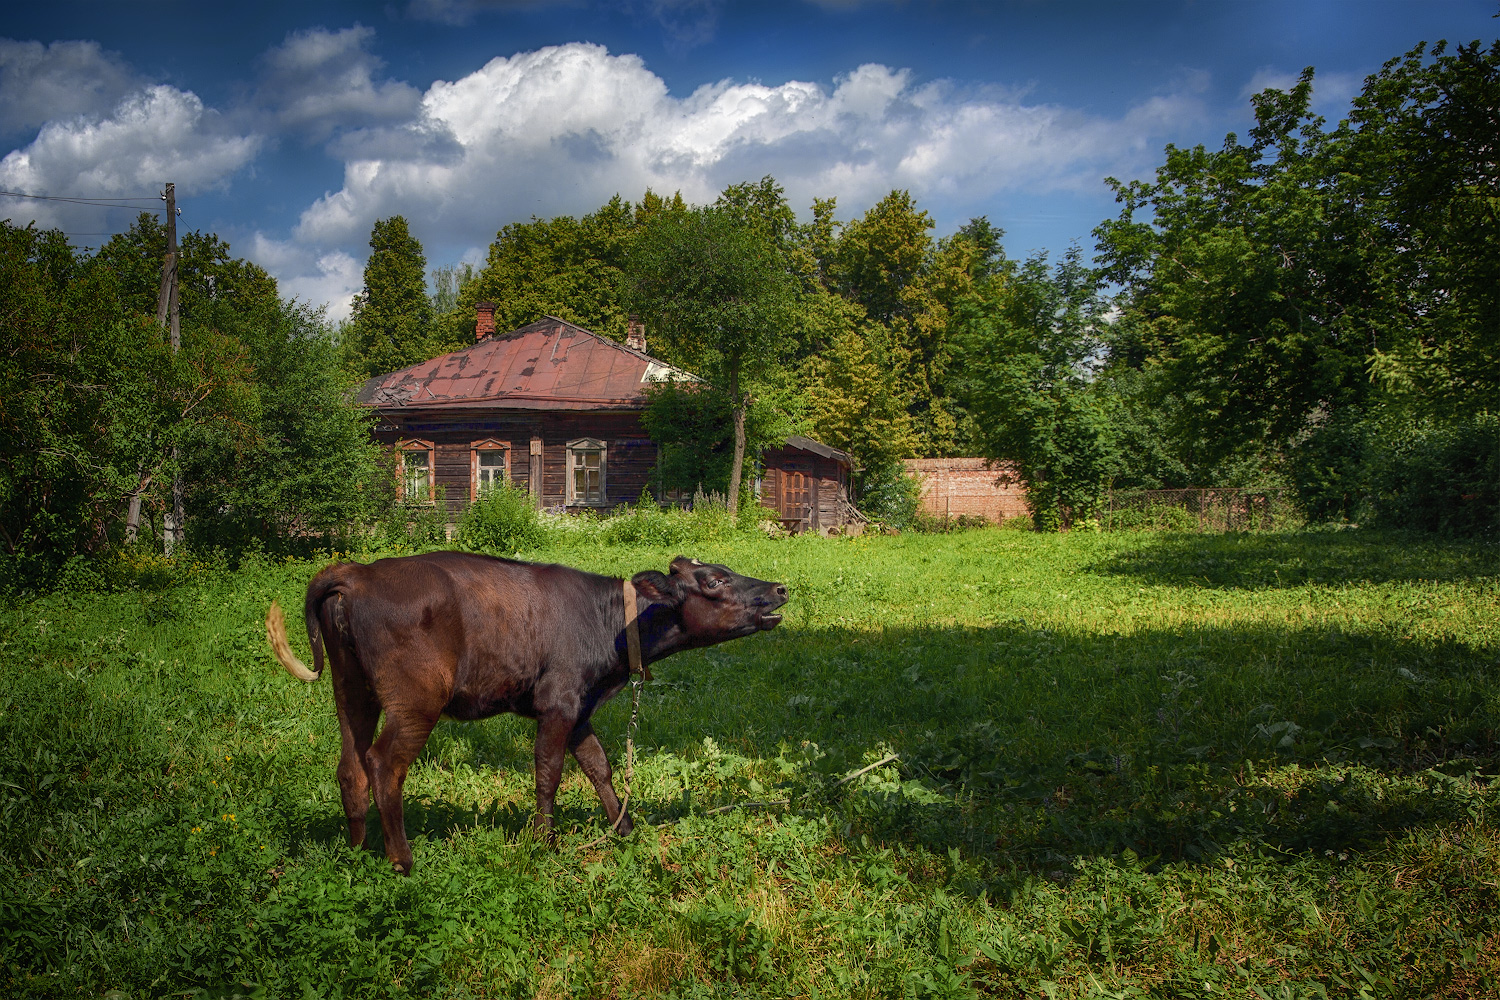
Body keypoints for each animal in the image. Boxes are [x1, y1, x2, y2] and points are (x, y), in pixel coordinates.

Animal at [270, 551, 792, 869]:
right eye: (716, 580)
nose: (780, 589)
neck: (611, 628)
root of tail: (357, 572)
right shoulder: (557, 701)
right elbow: (549, 770)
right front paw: (545, 842)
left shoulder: (580, 707)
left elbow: (599, 767)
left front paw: (623, 829)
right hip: (416, 698)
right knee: (383, 764)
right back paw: (402, 860)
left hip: (351, 689)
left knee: (350, 766)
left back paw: (357, 853)